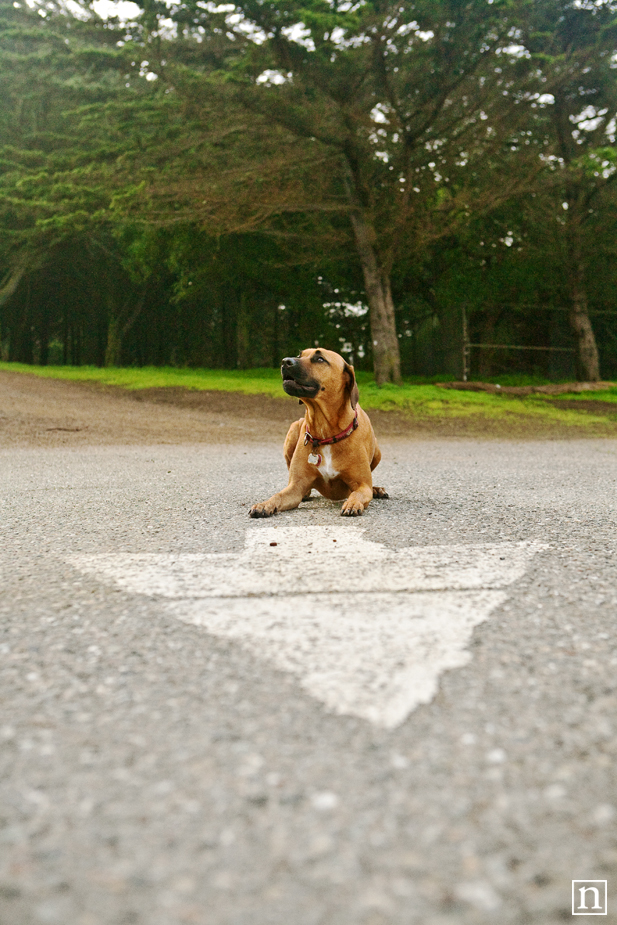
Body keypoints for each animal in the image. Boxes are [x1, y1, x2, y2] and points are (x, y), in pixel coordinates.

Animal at [249, 348, 384, 520]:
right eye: (299, 355)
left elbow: (359, 493)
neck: (325, 432)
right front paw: (264, 504)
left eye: (320, 359)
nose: (285, 361)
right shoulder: (295, 488)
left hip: (378, 452)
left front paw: (353, 503)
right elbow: (278, 495)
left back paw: (377, 489)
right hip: (293, 429)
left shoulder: (362, 485)